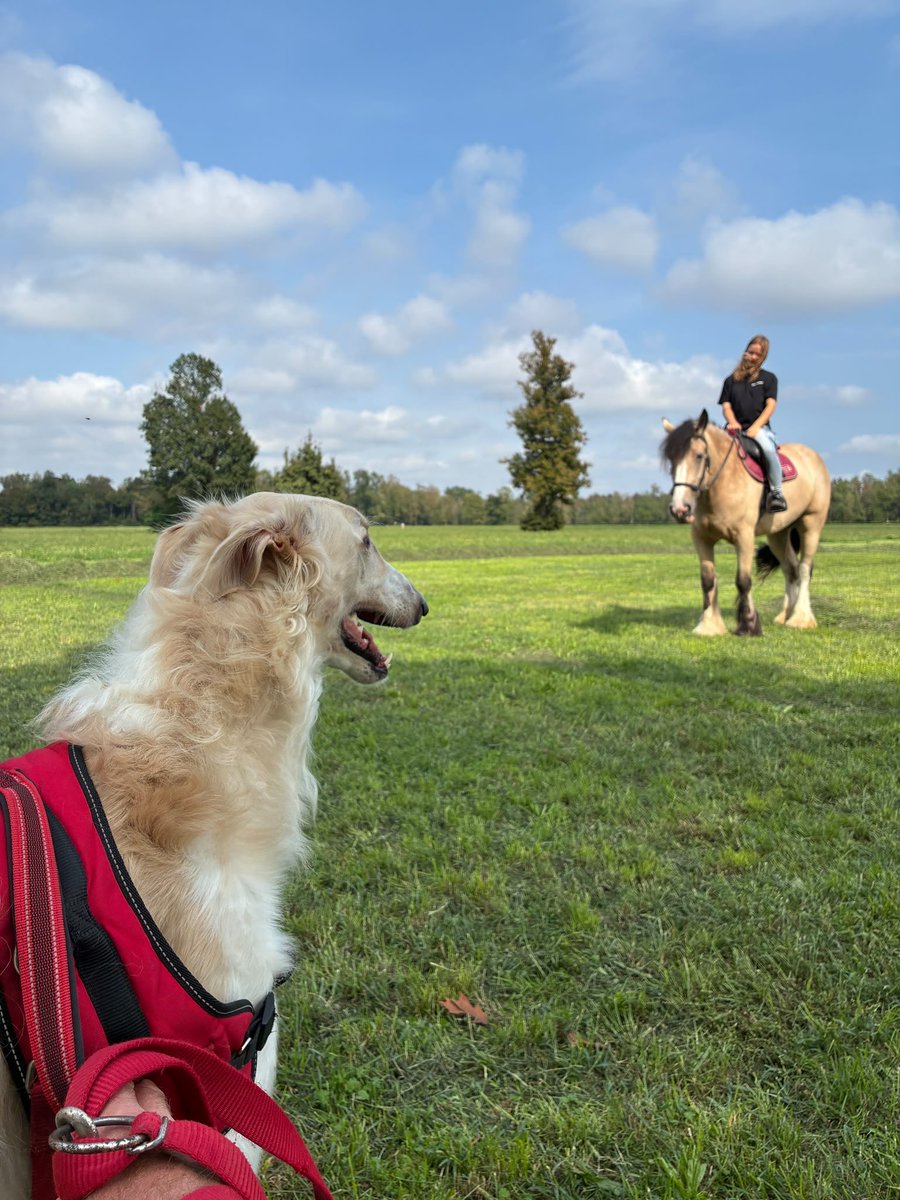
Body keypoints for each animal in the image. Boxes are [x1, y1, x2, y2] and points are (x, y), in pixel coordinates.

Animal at [660, 410, 831, 636]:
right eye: (671, 458)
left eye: (699, 456)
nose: (680, 509)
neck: (724, 483)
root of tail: (813, 457)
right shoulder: (702, 539)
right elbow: (708, 581)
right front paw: (709, 626)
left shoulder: (744, 537)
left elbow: (743, 581)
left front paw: (748, 625)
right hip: (778, 534)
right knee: (790, 569)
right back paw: (785, 616)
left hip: (811, 524)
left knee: (804, 569)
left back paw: (800, 619)